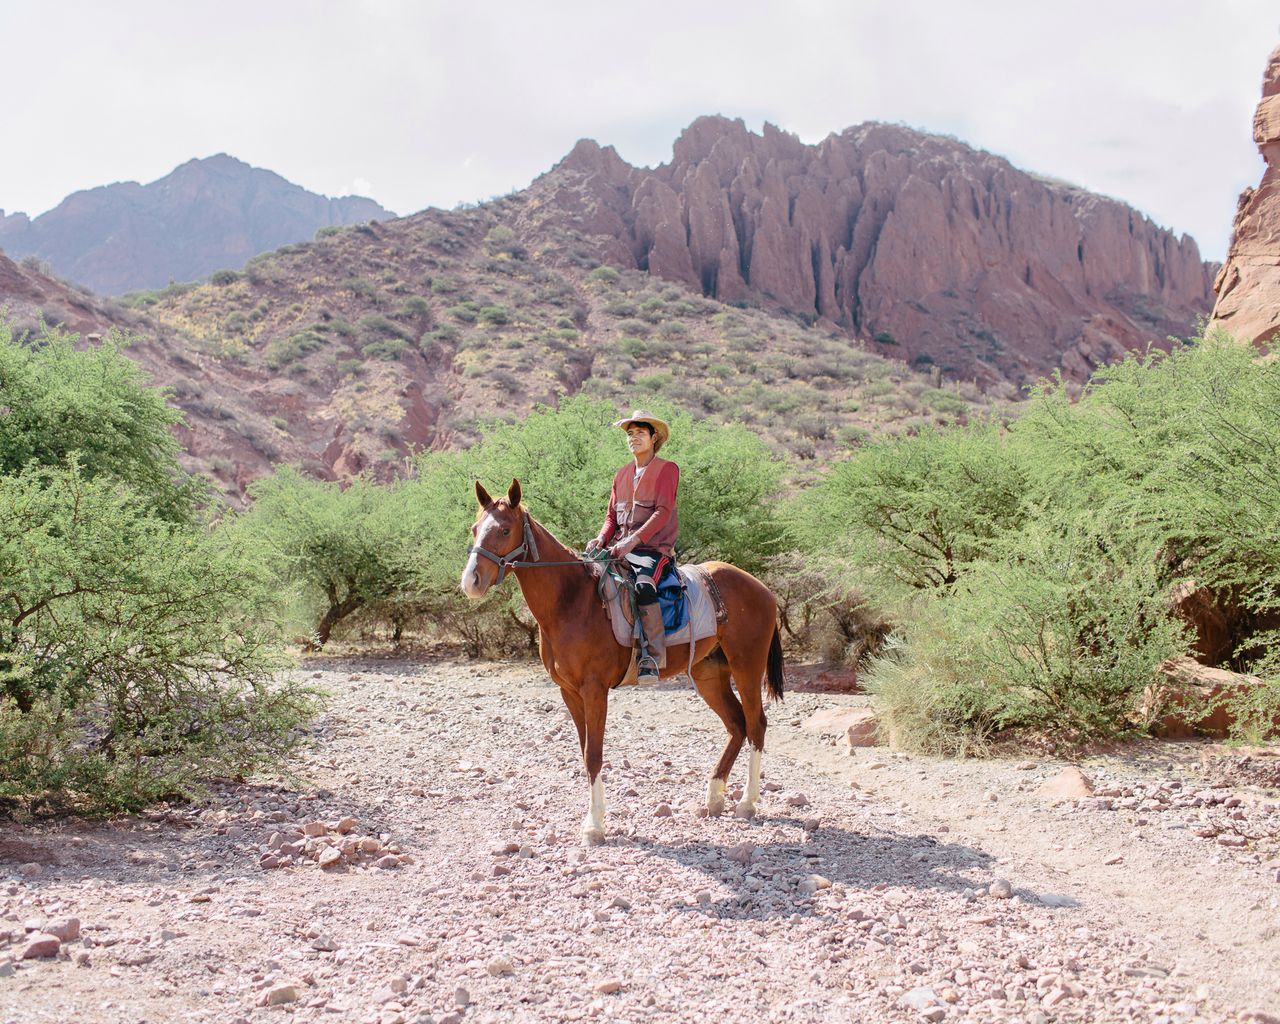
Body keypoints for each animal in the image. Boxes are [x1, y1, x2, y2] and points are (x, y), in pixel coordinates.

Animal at [455, 481, 783, 849]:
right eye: (475, 528)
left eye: (504, 530)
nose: (471, 581)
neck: (571, 601)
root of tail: (761, 587)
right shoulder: (569, 692)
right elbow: (584, 751)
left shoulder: (594, 690)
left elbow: (593, 754)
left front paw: (594, 826)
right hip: (709, 675)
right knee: (737, 725)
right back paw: (714, 798)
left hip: (747, 668)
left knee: (756, 724)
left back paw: (747, 803)